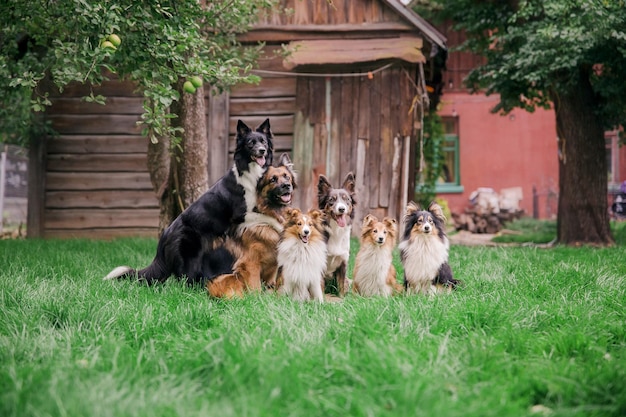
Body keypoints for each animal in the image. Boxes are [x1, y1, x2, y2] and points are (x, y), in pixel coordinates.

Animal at [205, 153, 292, 300]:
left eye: (287, 176)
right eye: (272, 179)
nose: (287, 185)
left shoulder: (273, 267)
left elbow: (270, 285)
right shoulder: (250, 263)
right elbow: (255, 288)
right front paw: (256, 300)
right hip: (224, 278)